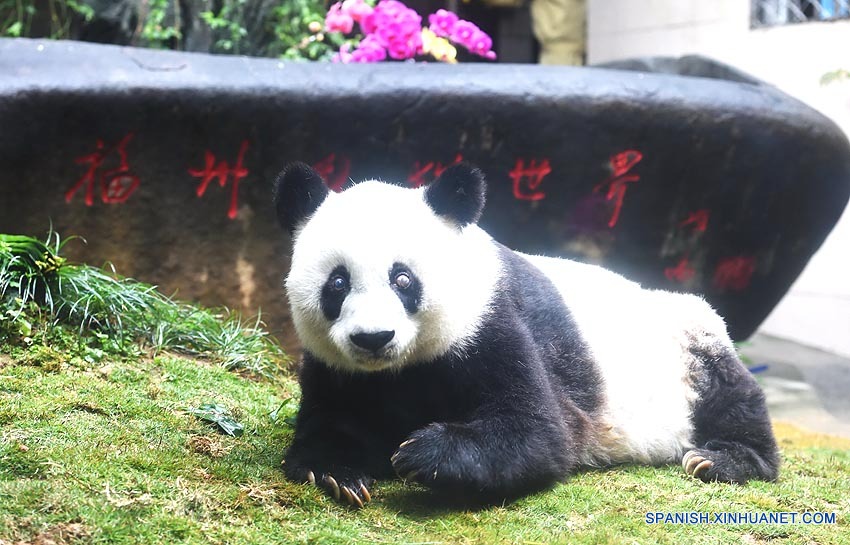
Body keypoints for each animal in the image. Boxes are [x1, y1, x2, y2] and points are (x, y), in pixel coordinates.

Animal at [274, 162, 779, 508]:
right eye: (337, 283)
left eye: (402, 279)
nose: (373, 338)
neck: (401, 368)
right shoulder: (336, 367)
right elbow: (330, 419)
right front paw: (338, 473)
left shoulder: (492, 323)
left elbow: (539, 432)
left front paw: (422, 453)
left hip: (687, 340)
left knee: (729, 393)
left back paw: (723, 459)